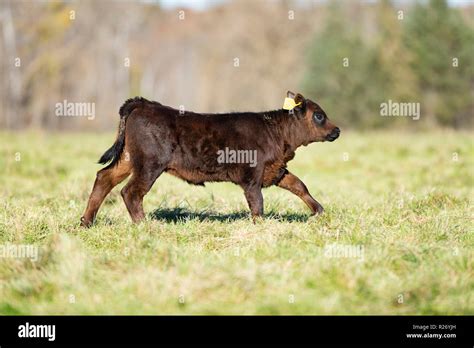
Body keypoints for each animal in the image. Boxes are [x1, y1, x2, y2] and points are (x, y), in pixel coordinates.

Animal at [81, 90, 340, 226]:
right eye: (319, 115)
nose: (337, 130)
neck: (276, 132)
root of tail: (144, 103)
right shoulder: (251, 177)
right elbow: (257, 204)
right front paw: (261, 227)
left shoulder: (275, 170)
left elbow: (299, 186)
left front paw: (319, 211)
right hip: (149, 164)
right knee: (131, 191)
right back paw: (145, 225)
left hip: (128, 159)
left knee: (104, 177)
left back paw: (86, 222)